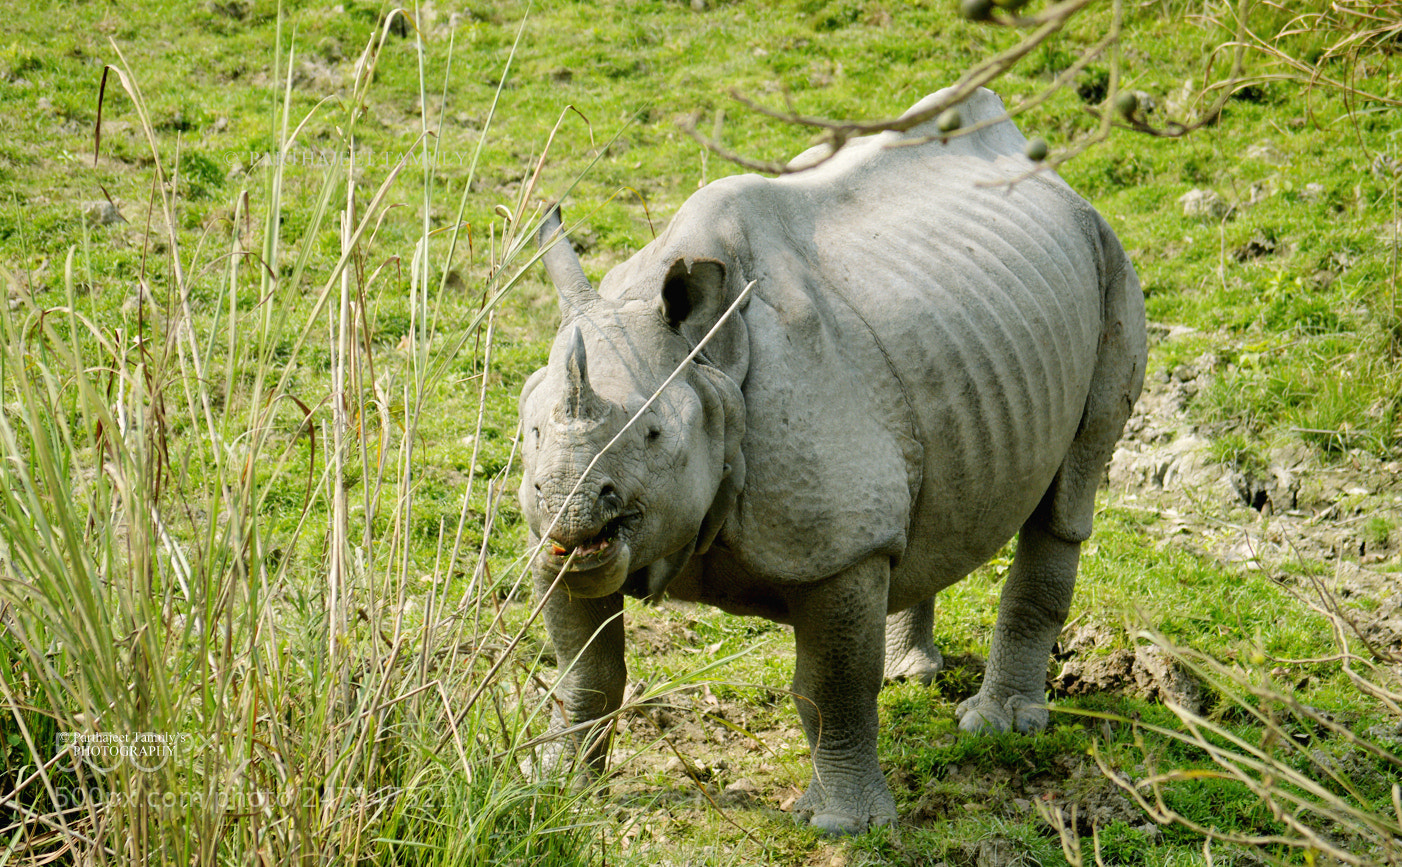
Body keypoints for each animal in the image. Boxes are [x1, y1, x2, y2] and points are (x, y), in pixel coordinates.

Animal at [517, 86, 1146, 835]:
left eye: (653, 436)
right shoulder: (559, 550)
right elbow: (584, 670)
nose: (567, 500)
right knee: (920, 507)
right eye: (530, 431)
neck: (710, 367)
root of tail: (1031, 156)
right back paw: (912, 673)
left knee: (1068, 493)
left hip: (1108, 253)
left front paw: (844, 825)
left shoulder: (834, 548)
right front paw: (554, 788)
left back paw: (1001, 724)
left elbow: (829, 683)